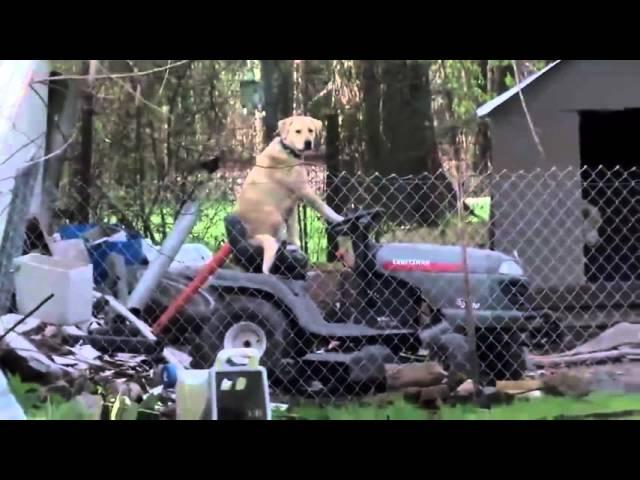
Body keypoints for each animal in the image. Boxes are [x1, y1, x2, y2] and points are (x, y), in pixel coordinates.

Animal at [234, 114, 344, 274]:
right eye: (297, 131)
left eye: (310, 130)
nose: (308, 143)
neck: (288, 151)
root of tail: (250, 236)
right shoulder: (305, 191)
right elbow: (325, 208)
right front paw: (339, 218)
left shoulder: (292, 206)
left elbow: (294, 232)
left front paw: (296, 247)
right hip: (274, 216)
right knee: (276, 241)